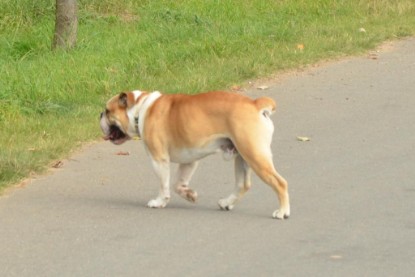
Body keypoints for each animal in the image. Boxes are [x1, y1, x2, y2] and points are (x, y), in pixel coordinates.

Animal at [99, 90, 290, 218]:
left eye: (108, 111)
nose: (100, 114)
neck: (140, 109)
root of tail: (256, 103)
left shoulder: (158, 159)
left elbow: (164, 184)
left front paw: (159, 202)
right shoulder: (190, 159)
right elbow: (178, 183)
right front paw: (189, 195)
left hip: (254, 154)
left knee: (280, 183)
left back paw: (282, 212)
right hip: (242, 157)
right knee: (243, 185)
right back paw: (226, 203)